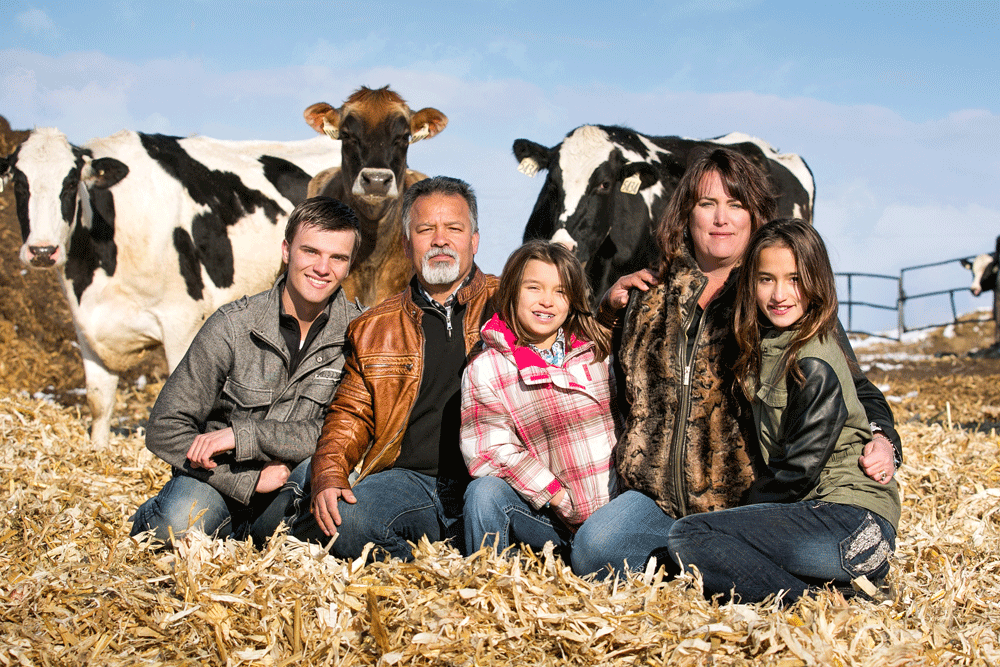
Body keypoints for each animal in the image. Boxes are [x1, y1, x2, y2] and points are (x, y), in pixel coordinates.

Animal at [0, 128, 340, 446]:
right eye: (19, 183)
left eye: (70, 183)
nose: (42, 251)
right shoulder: (87, 326)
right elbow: (99, 401)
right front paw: (98, 449)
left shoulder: (182, 321)